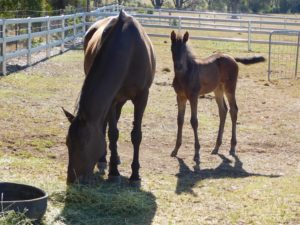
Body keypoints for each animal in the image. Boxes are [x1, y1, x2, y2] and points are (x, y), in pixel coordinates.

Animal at [62, 10, 156, 184]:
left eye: (83, 144)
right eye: (67, 143)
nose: (72, 178)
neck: (129, 52)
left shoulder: (142, 96)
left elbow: (136, 135)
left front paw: (135, 175)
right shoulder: (112, 99)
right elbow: (112, 133)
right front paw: (113, 171)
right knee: (106, 125)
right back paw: (105, 159)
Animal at [170, 31, 266, 162]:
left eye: (184, 50)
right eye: (172, 49)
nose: (178, 66)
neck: (185, 74)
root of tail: (232, 58)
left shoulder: (194, 96)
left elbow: (194, 121)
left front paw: (196, 153)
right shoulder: (180, 97)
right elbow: (180, 120)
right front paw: (175, 149)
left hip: (229, 88)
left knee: (233, 110)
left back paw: (232, 146)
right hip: (218, 89)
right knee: (223, 110)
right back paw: (216, 147)